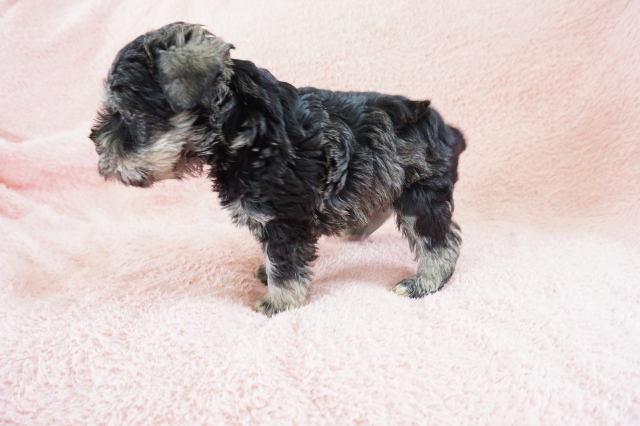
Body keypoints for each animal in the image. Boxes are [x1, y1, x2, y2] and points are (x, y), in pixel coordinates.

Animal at [89, 22, 466, 316]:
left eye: (127, 114)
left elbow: (284, 262)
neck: (248, 132)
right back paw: (354, 230)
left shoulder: (283, 220)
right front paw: (267, 275)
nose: (99, 153)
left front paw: (279, 301)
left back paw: (423, 282)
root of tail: (446, 129)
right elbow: (275, 257)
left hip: (420, 194)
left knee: (440, 241)